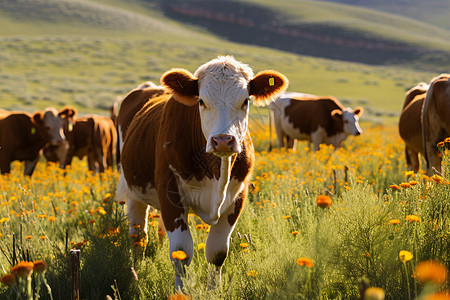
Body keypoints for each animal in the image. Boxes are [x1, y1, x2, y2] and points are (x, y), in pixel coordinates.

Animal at [117, 55, 288, 288]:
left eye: (245, 101)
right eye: (201, 101)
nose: (223, 140)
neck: (217, 174)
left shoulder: (238, 196)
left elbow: (217, 252)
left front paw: (214, 291)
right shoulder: (170, 193)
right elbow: (181, 253)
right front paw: (181, 291)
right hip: (133, 190)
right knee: (138, 236)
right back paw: (137, 272)